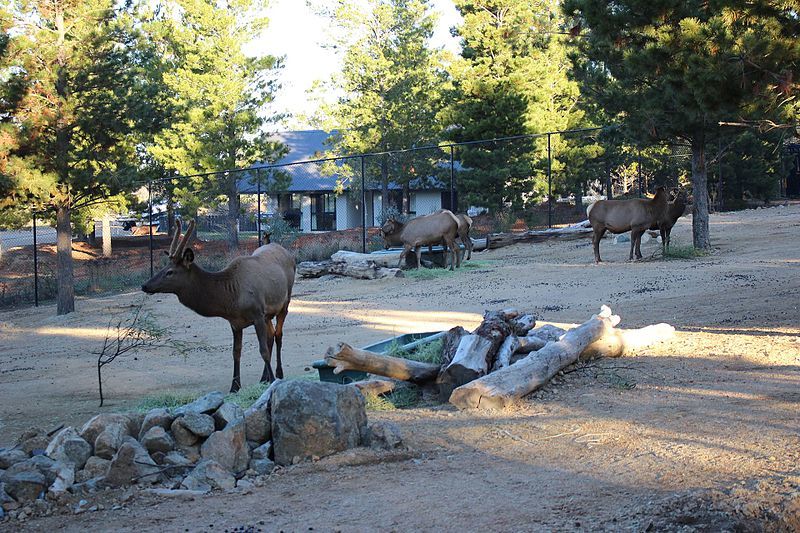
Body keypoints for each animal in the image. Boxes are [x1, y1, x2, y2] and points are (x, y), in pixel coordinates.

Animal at [142, 219, 296, 390]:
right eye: (164, 267)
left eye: (170, 272)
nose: (145, 285)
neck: (232, 299)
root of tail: (286, 251)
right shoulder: (236, 323)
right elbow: (236, 352)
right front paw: (235, 386)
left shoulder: (257, 314)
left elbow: (263, 351)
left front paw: (272, 380)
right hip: (268, 314)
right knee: (271, 335)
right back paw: (263, 377)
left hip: (285, 302)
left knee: (278, 335)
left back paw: (278, 373)